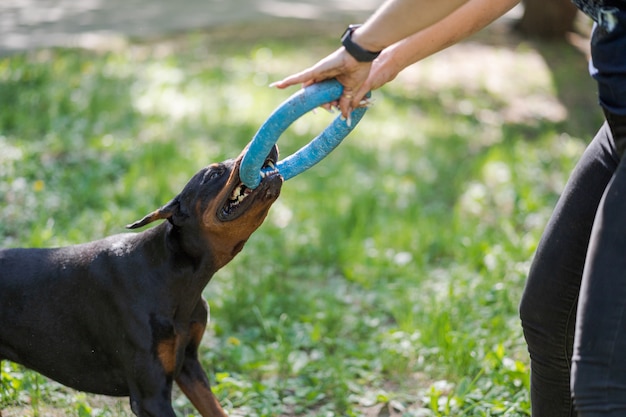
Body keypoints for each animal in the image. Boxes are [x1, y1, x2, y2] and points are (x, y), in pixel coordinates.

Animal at [0, 145, 282, 414]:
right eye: (213, 174)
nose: (269, 148)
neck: (173, 277)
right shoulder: (150, 396)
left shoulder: (188, 363)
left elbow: (214, 407)